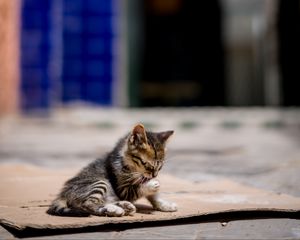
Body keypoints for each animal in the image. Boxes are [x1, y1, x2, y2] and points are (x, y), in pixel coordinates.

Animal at [47, 124, 177, 218]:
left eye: (160, 167)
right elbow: (138, 188)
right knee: (87, 204)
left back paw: (124, 206)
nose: (155, 175)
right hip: (99, 182)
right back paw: (114, 209)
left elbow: (153, 195)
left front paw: (164, 204)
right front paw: (152, 184)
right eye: (147, 165)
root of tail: (63, 193)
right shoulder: (122, 190)